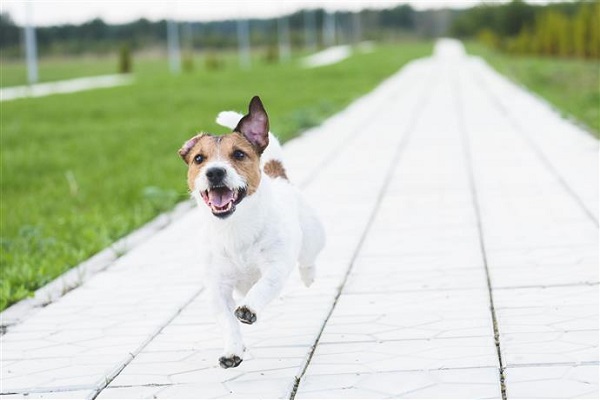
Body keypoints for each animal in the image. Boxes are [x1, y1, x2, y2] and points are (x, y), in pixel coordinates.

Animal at [178, 95, 326, 368]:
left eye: (238, 154)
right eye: (199, 159)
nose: (215, 172)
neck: (234, 227)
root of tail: (278, 177)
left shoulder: (276, 266)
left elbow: (264, 286)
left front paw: (248, 308)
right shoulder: (217, 289)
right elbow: (228, 322)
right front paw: (232, 351)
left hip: (313, 237)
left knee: (308, 258)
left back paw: (308, 275)